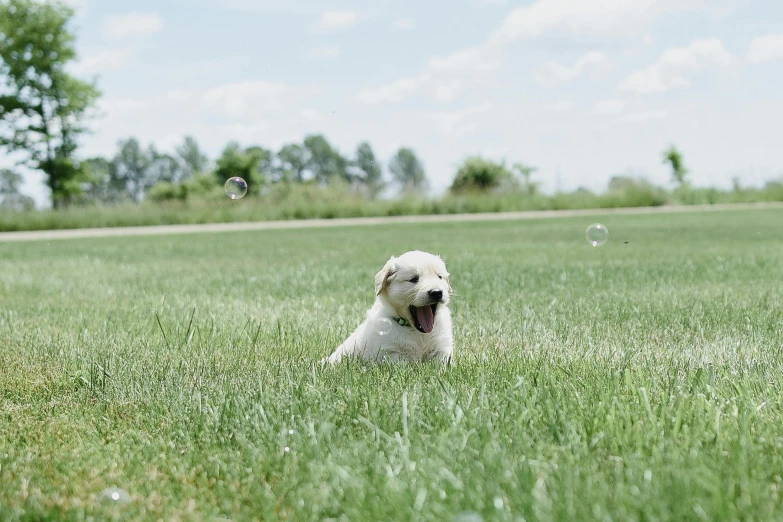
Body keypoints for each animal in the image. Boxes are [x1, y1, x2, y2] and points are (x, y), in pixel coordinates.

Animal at [322, 249, 454, 364]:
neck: (417, 332)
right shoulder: (390, 352)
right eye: (413, 279)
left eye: (439, 277)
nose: (436, 292)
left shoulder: (441, 349)